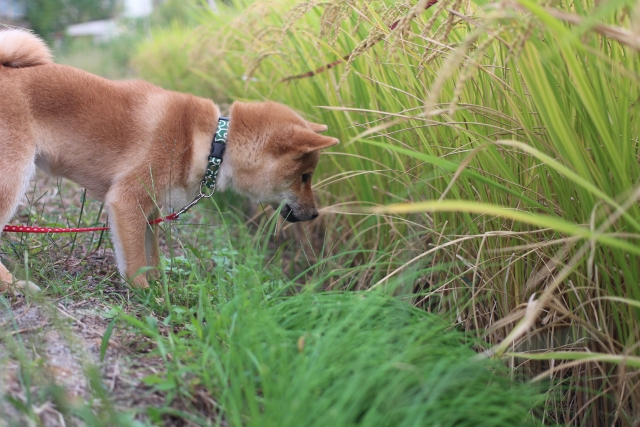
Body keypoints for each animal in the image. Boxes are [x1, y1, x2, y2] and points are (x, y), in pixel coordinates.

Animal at [0, 28, 340, 292]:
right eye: (305, 176)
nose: (314, 214)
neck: (214, 144)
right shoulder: (127, 200)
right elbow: (135, 262)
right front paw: (144, 294)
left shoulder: (149, 210)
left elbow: (151, 256)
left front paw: (160, 286)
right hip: (12, 178)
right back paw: (14, 285)